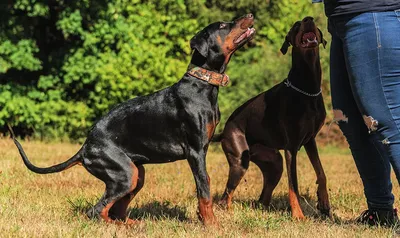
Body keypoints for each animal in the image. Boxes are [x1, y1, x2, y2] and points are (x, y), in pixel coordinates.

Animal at [11, 13, 256, 226]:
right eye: (223, 25)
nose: (251, 15)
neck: (202, 84)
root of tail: (84, 148)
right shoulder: (195, 152)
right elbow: (204, 189)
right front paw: (212, 224)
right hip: (125, 175)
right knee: (96, 211)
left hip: (137, 174)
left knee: (116, 210)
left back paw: (132, 224)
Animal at [214, 16, 330, 219]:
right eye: (296, 25)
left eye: (314, 23)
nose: (308, 19)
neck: (307, 87)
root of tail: (224, 131)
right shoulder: (292, 147)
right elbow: (294, 186)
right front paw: (298, 216)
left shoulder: (310, 140)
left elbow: (321, 172)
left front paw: (323, 202)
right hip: (239, 160)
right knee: (225, 197)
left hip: (274, 162)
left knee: (262, 198)